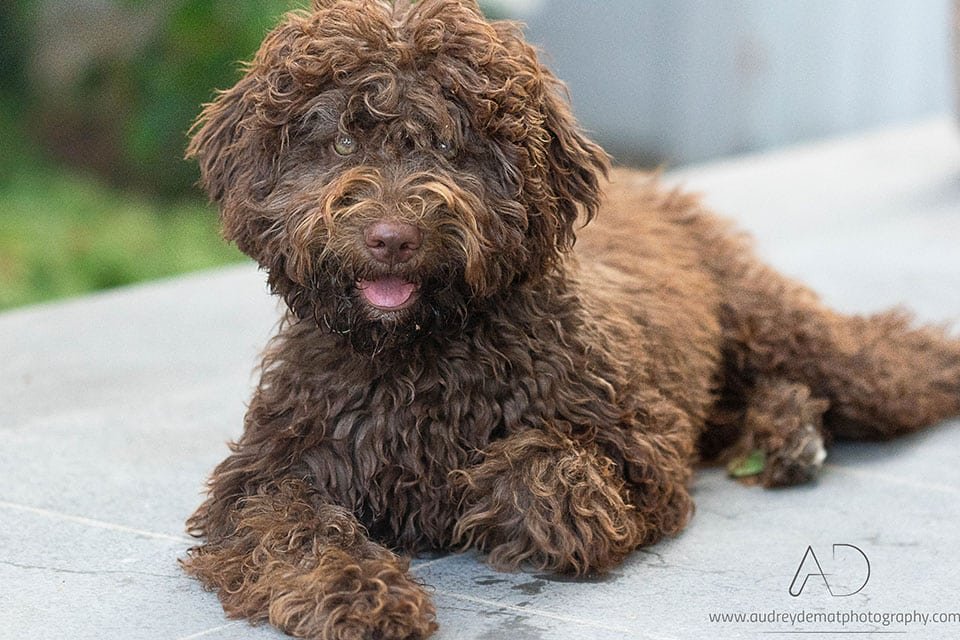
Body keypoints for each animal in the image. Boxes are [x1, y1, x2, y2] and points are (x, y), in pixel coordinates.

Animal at [182, 1, 960, 638]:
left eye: (451, 146)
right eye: (342, 143)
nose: (391, 236)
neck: (419, 351)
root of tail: (656, 187)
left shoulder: (643, 444)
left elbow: (543, 469)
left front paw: (493, 493)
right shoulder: (269, 472)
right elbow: (289, 531)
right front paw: (356, 596)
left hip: (778, 325)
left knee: (888, 361)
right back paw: (787, 433)